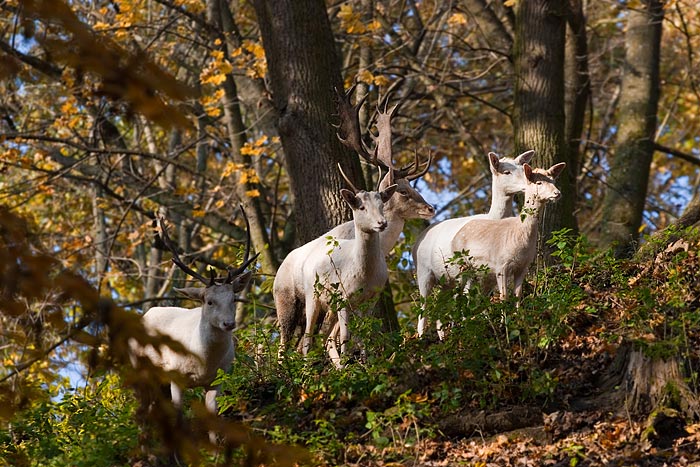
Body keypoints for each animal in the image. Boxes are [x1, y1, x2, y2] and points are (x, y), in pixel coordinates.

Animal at [128, 210, 258, 444]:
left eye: (234, 298)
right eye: (209, 301)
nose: (229, 323)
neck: (203, 363)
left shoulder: (218, 379)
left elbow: (213, 418)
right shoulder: (175, 376)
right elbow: (179, 418)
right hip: (139, 367)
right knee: (142, 411)